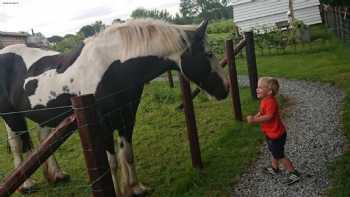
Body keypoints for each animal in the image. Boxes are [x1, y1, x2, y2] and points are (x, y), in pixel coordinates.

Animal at [0, 18, 230, 195]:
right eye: (209, 54)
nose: (226, 88)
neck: (111, 67)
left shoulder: (127, 116)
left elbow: (127, 152)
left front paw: (135, 187)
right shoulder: (102, 123)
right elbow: (111, 161)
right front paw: (119, 191)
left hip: (42, 116)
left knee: (40, 141)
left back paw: (57, 175)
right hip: (11, 117)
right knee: (17, 145)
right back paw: (26, 185)